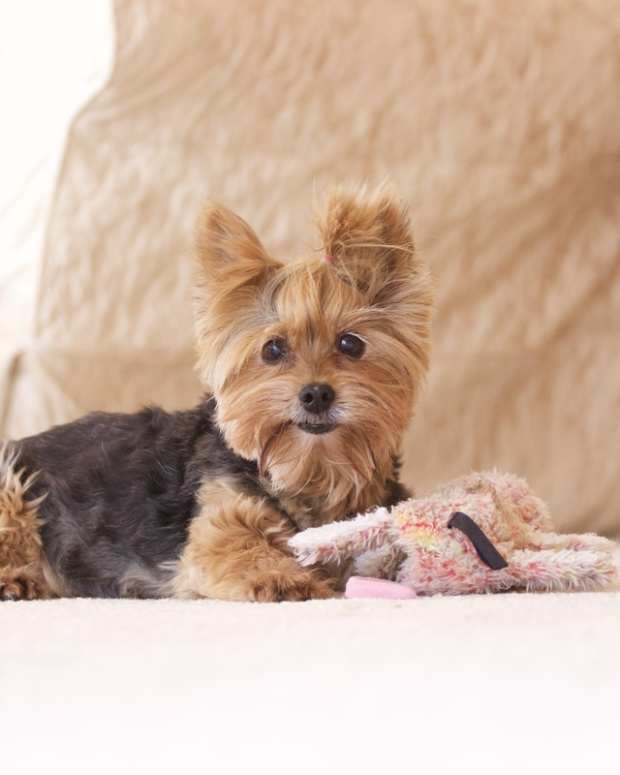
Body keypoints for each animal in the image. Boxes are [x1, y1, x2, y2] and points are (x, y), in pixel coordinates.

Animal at [0, 185, 434, 604]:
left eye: (351, 344)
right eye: (272, 349)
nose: (315, 395)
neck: (313, 471)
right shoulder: (219, 516)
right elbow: (238, 544)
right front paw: (283, 578)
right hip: (14, 488)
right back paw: (16, 580)